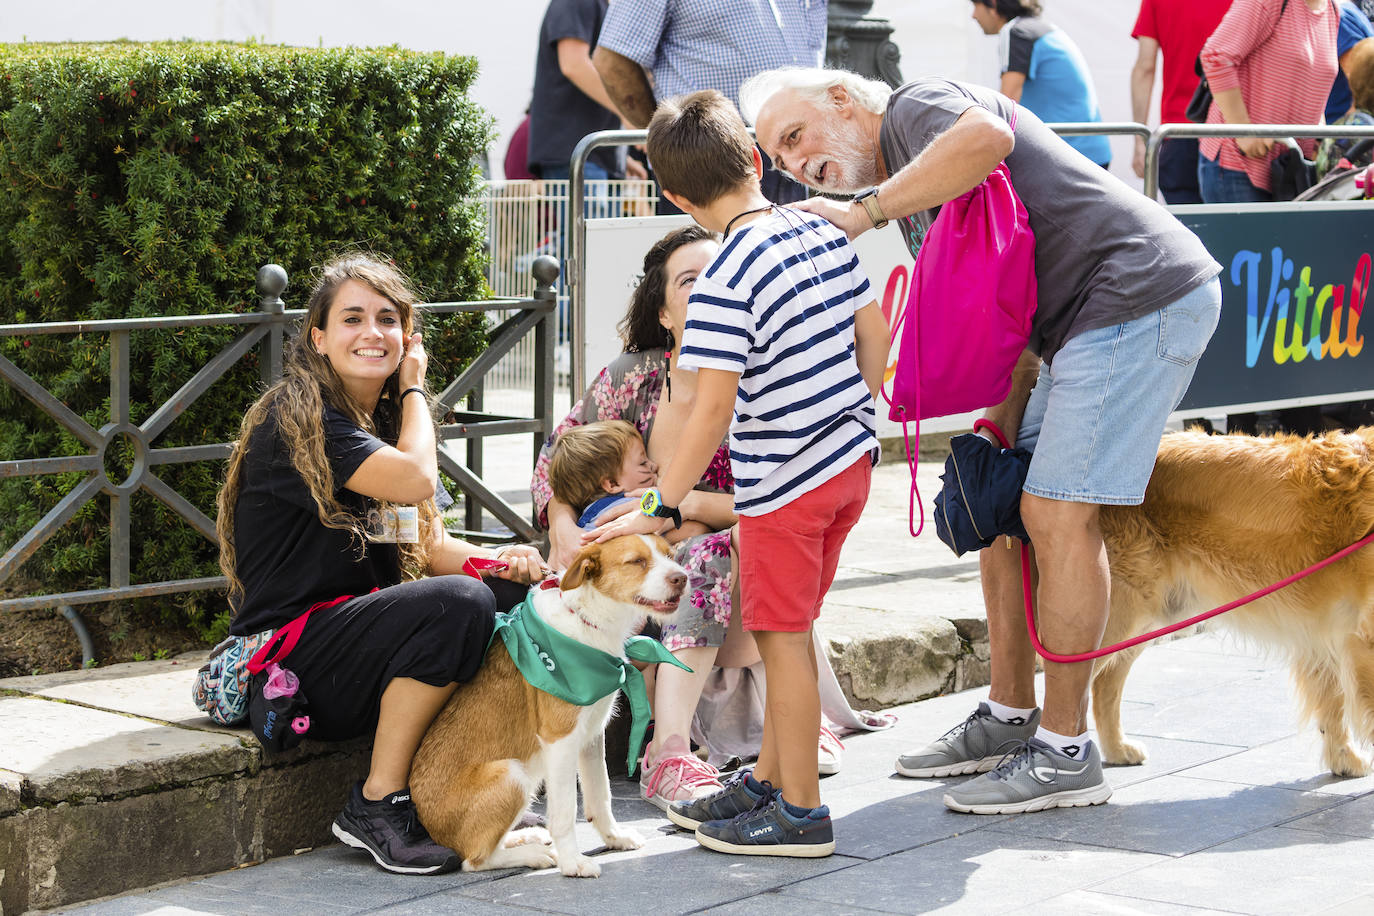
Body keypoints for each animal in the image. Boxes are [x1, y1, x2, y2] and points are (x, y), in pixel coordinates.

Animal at [406, 532, 687, 878]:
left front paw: (615, 838)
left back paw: (524, 837)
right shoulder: (561, 739)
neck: (589, 619)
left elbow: (601, 794)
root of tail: (431, 828)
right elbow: (566, 811)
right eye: (637, 561)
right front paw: (573, 862)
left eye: (670, 555)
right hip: (511, 774)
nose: (682, 578)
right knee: (474, 859)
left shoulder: (592, 733)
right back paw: (533, 854)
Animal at [1093, 425, 1374, 780]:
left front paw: (1343, 759)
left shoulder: (1328, 630)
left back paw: (1117, 749)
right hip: (1120, 611)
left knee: (1103, 683)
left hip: (1150, 616)